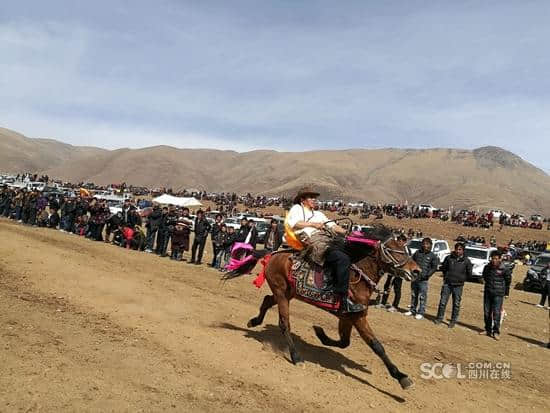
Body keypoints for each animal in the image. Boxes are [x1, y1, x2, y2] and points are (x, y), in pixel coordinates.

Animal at [224, 225, 422, 390]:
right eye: (395, 249)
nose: (417, 271)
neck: (357, 277)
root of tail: (273, 254)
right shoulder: (357, 317)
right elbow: (377, 346)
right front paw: (402, 378)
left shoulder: (348, 317)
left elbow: (344, 342)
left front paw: (320, 334)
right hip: (281, 293)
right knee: (284, 324)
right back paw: (296, 357)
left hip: (287, 293)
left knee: (266, 300)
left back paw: (253, 322)